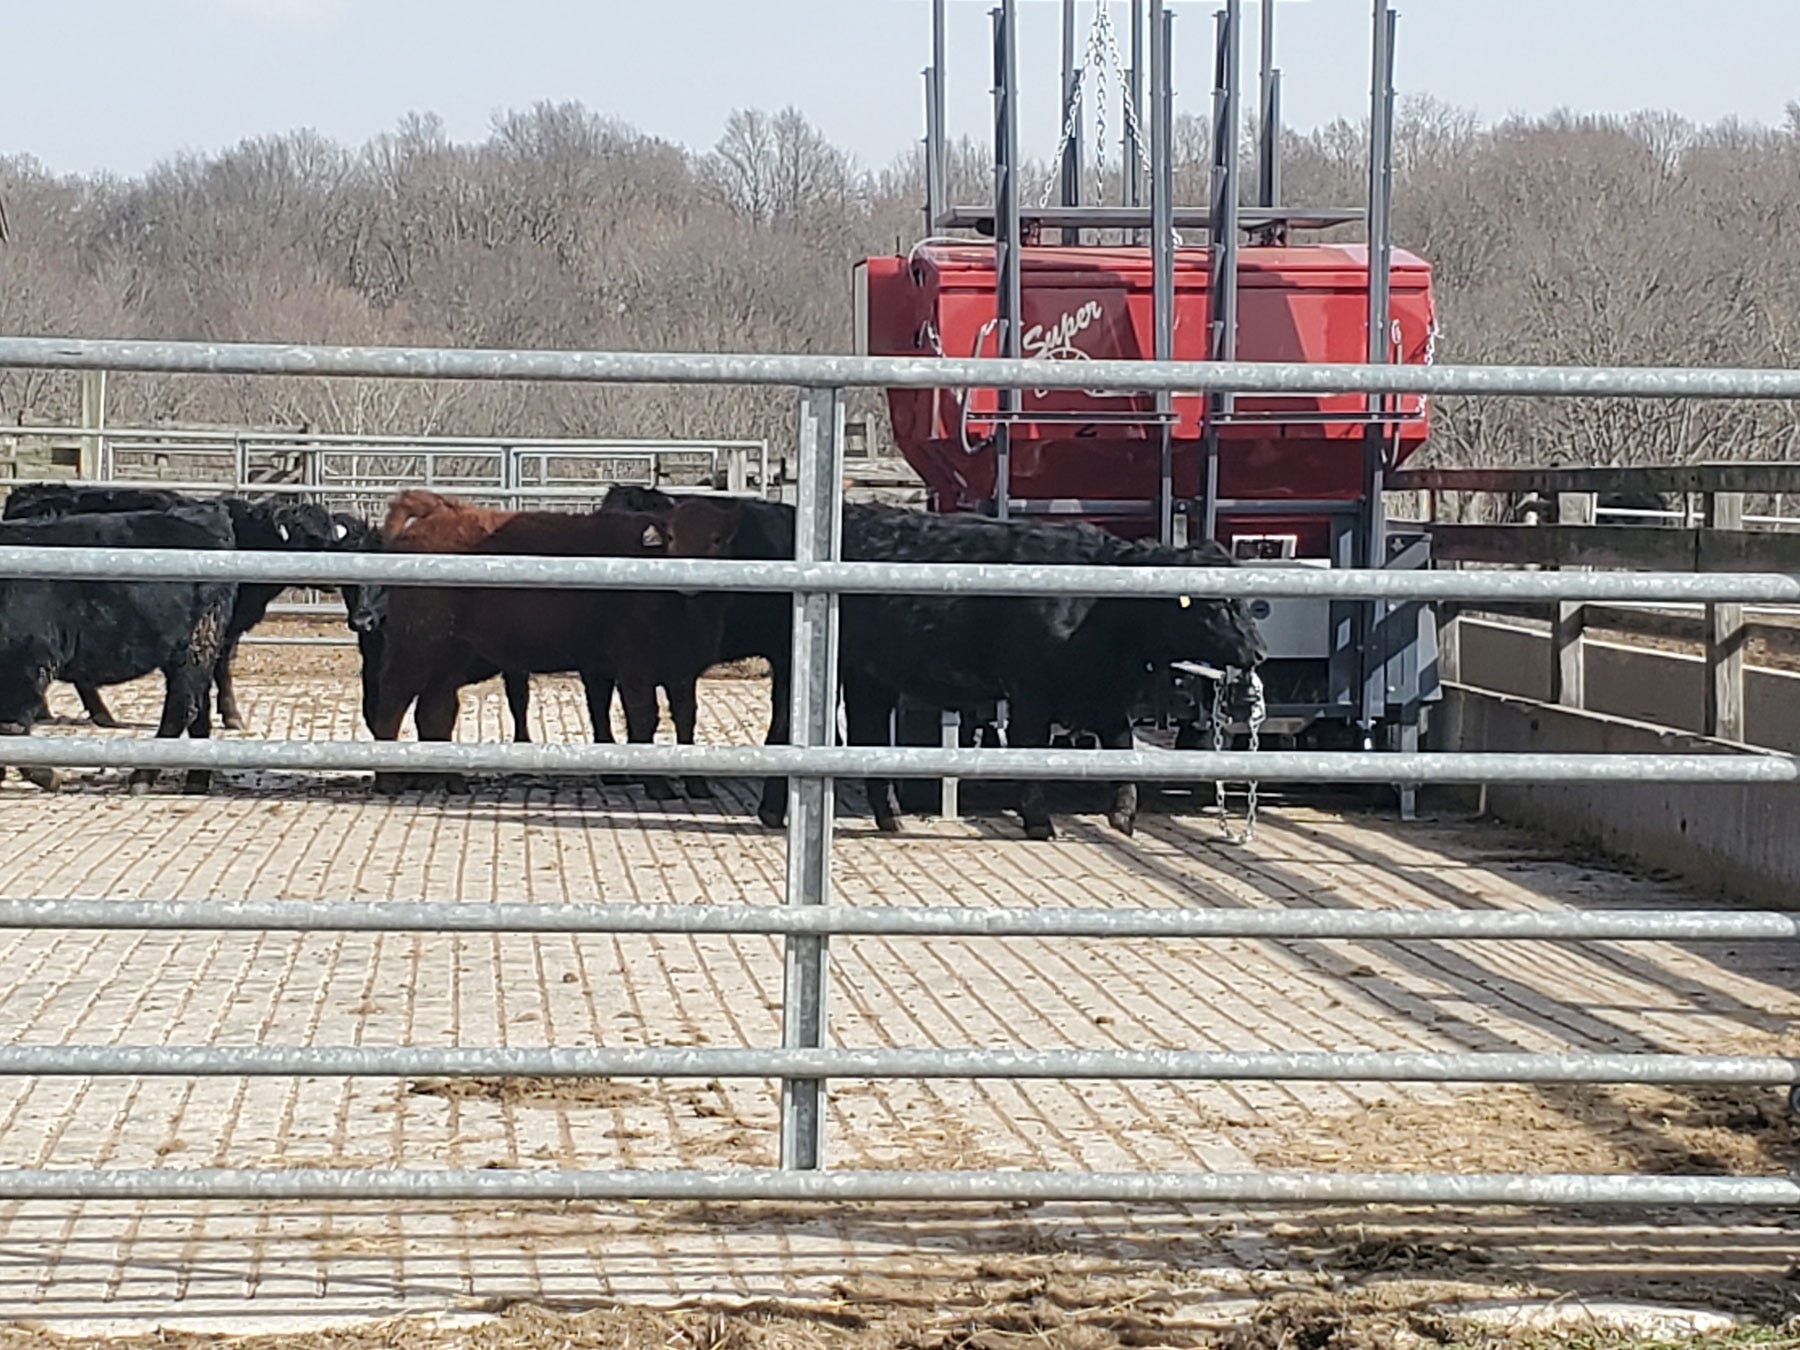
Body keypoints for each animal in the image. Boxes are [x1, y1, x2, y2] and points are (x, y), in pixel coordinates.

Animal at [0, 504, 237, 799]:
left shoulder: (27, 665)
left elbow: (10, 728)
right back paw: (195, 782)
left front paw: (48, 777)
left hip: (194, 646)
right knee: (199, 709)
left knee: (182, 707)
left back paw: (142, 778)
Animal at [372, 493, 738, 799]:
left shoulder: (682, 671)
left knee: (434, 712)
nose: (689, 578)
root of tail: (441, 513)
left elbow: (686, 721)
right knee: (390, 701)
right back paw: (388, 780)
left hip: (450, 656)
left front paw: (697, 786)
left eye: (717, 539)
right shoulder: (634, 669)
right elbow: (644, 720)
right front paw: (658, 785)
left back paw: (451, 781)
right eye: (672, 538)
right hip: (417, 644)